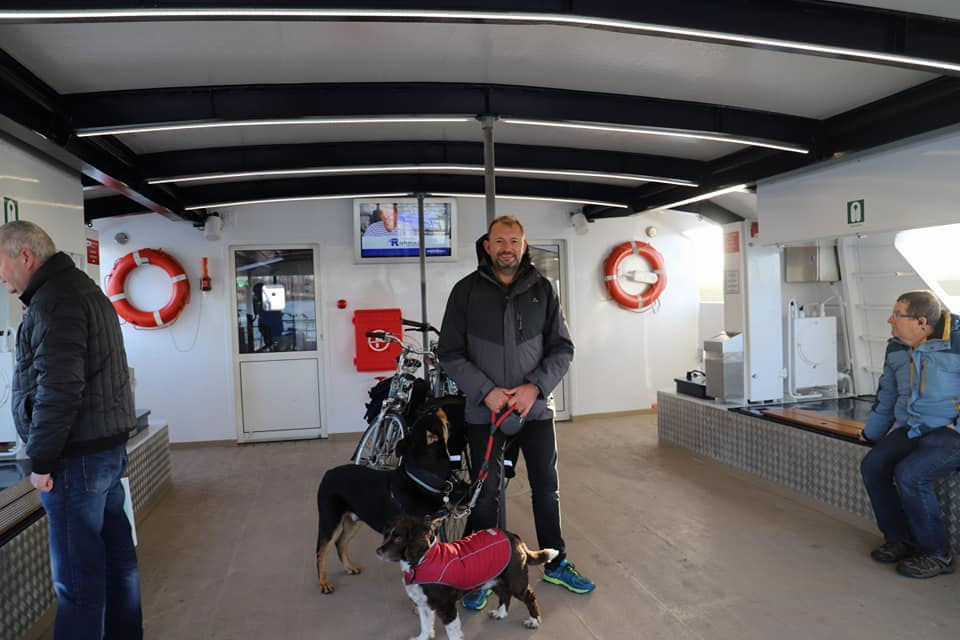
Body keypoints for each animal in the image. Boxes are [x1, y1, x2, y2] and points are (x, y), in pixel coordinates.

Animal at [315, 408, 455, 593]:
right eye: (436, 418)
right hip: (330, 520)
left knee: (340, 543)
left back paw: (349, 566)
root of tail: (328, 473)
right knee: (321, 550)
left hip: (355, 519)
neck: (423, 478)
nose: (439, 409)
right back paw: (323, 582)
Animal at [377, 514, 558, 639]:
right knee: (505, 595)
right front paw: (422, 637)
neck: (423, 561)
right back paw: (500, 613)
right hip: (495, 580)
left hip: (515, 581)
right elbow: (425, 625)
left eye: (398, 538)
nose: (378, 551)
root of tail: (515, 538)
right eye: (386, 535)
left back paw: (533, 621)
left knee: (529, 596)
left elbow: (452, 631)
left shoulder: (446, 606)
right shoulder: (424, 603)